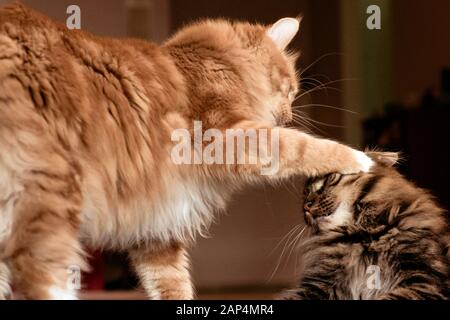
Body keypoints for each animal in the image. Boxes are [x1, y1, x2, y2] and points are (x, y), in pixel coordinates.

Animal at [0, 3, 372, 300]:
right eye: (292, 90)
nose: (289, 114)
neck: (222, 63)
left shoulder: (157, 234)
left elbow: (173, 285)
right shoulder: (227, 135)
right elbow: (303, 145)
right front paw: (362, 159)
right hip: (48, 196)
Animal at [284, 152, 448, 300]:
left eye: (331, 177)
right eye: (305, 193)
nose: (306, 206)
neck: (361, 236)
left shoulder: (425, 280)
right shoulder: (319, 283)